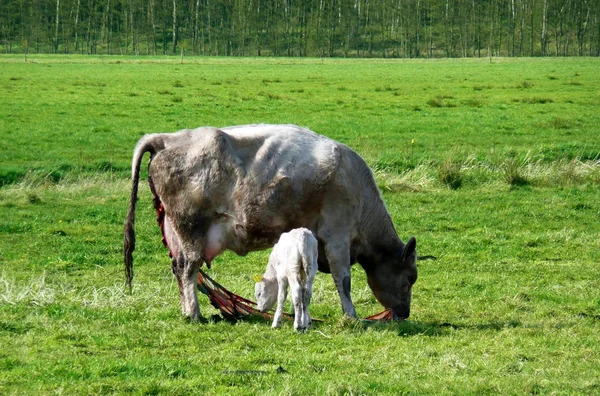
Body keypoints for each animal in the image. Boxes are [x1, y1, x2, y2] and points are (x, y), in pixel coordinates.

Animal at [123, 124, 418, 322]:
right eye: (410, 277)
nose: (405, 313)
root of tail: (167, 139)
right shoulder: (337, 236)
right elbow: (342, 279)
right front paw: (351, 315)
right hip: (192, 229)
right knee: (187, 269)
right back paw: (194, 313)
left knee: (178, 268)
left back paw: (187, 311)